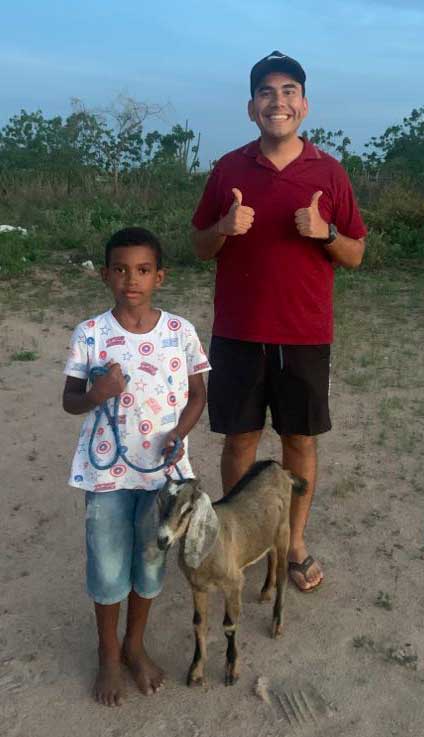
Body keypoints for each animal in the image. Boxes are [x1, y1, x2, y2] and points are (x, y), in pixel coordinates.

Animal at [157, 458, 306, 688]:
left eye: (188, 509)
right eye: (159, 502)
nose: (162, 539)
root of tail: (277, 467)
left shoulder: (234, 584)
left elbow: (229, 625)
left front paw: (231, 671)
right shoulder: (197, 587)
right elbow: (198, 623)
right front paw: (196, 672)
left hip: (284, 530)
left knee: (282, 574)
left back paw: (277, 623)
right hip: (268, 531)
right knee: (270, 553)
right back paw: (265, 591)